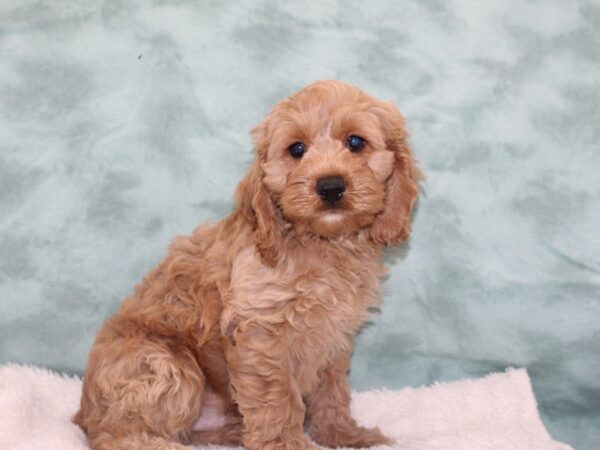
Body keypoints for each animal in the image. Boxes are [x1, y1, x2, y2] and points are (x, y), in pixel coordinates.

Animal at [75, 81, 420, 450]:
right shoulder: (261, 329)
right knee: (117, 432)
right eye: (296, 149)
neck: (322, 243)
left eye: (355, 142)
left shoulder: (335, 336)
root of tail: (83, 411)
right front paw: (286, 443)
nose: (330, 186)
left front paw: (343, 434)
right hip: (165, 365)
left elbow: (332, 392)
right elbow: (278, 398)